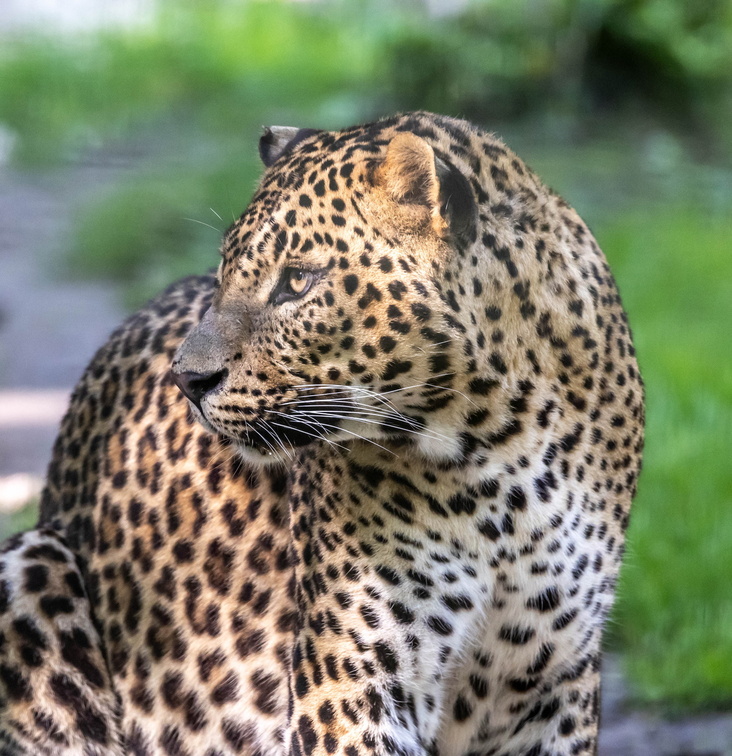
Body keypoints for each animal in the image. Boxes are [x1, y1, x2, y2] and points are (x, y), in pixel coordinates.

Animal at [0, 112, 640, 756]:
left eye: (298, 282)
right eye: (225, 273)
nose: (186, 379)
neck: (499, 450)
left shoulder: (553, 684)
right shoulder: (353, 678)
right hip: (29, 561)